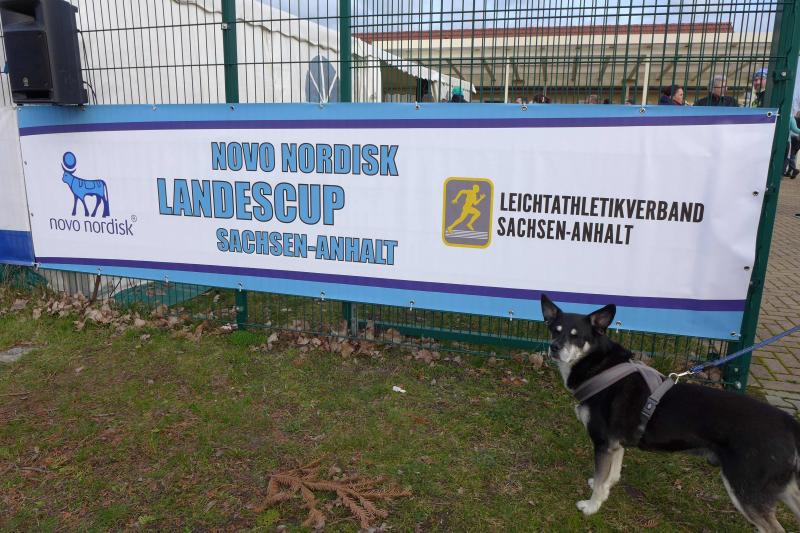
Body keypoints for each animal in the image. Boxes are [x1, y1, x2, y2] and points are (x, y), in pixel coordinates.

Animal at [541, 294, 800, 532]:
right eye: (555, 330)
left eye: (576, 336)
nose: (554, 348)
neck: (600, 367)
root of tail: (788, 422)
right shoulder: (615, 443)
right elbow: (610, 476)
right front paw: (603, 490)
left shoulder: (604, 442)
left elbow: (602, 479)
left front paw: (591, 506)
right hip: (783, 487)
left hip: (746, 489)